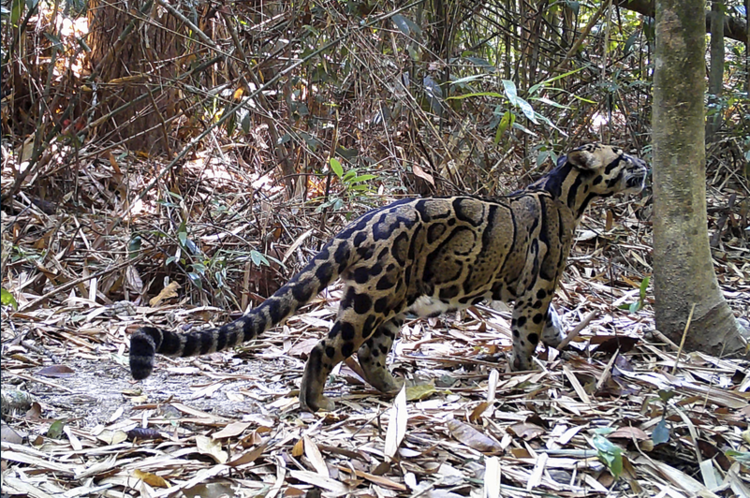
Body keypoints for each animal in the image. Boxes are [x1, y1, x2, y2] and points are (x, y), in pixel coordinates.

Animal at [130, 143, 648, 412]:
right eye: (622, 158)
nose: (645, 165)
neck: (566, 191)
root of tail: (356, 226)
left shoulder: (524, 290)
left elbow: (553, 325)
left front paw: (566, 348)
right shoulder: (538, 285)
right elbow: (528, 332)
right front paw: (526, 372)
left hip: (394, 301)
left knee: (370, 353)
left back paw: (395, 388)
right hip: (373, 297)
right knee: (325, 348)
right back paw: (317, 403)